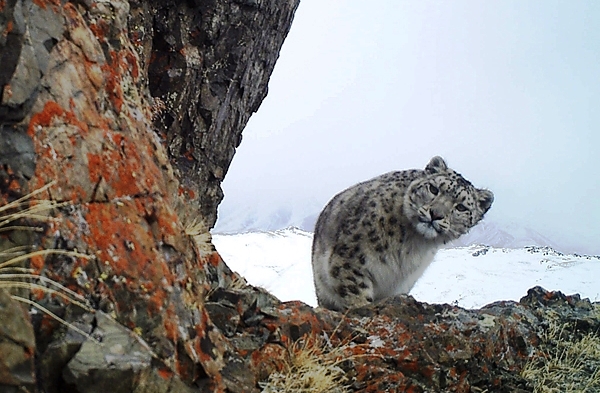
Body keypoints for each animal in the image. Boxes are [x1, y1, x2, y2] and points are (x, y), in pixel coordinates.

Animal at [312, 155, 494, 310]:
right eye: (433, 189)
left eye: (461, 207)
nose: (435, 214)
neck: (412, 243)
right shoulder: (350, 257)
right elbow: (355, 292)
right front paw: (361, 306)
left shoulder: (401, 284)